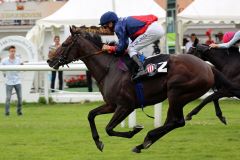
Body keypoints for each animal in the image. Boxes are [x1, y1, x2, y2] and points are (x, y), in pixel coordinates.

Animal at [47, 26, 238, 152]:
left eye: (65, 44)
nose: (50, 60)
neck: (109, 68)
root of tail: (208, 67)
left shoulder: (126, 106)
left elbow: (109, 128)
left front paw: (135, 130)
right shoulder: (112, 105)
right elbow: (91, 115)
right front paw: (98, 142)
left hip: (177, 93)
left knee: (178, 121)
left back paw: (147, 138)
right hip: (178, 97)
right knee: (172, 122)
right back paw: (144, 143)